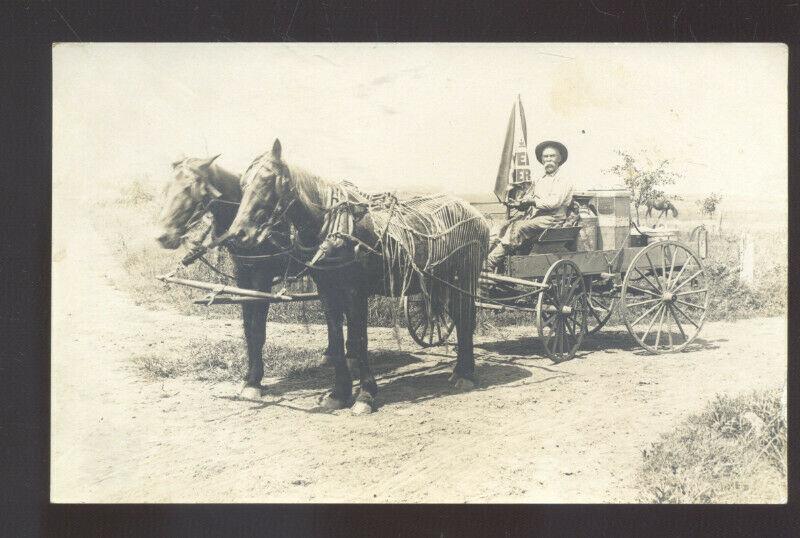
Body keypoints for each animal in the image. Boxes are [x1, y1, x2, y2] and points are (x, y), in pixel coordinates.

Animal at [156, 155, 334, 398]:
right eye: (166, 188)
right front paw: (248, 376)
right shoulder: (242, 277)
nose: (162, 236)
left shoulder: (261, 279)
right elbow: (248, 329)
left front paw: (254, 383)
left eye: (189, 188)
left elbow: (258, 329)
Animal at [225, 139, 488, 414]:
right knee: (458, 316)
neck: (338, 230)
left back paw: (465, 375)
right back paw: (460, 371)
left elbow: (358, 340)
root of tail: (476, 213)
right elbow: (336, 338)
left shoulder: (355, 292)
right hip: (441, 281)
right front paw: (338, 393)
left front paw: (366, 395)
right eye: (243, 184)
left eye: (267, 180)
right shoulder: (327, 291)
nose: (237, 234)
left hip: (464, 277)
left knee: (465, 317)